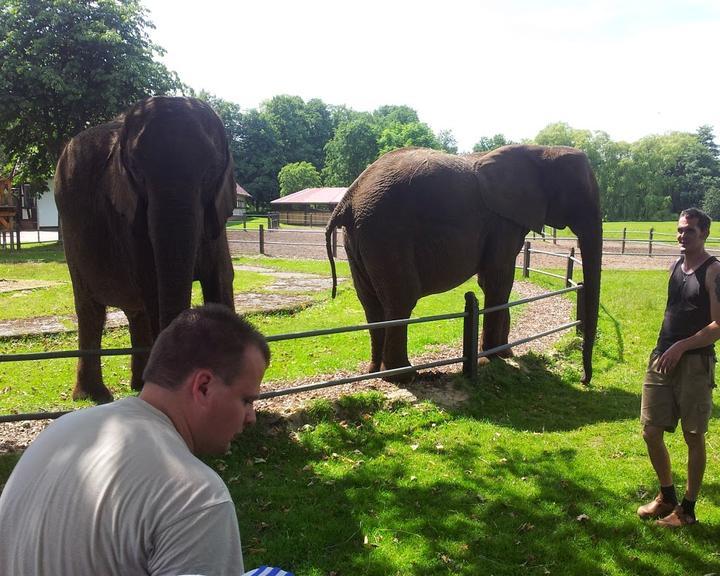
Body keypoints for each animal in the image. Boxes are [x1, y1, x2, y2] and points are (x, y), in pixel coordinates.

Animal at [57, 97, 236, 402]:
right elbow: (153, 286)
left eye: (211, 172)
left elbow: (221, 279)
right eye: (137, 173)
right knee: (90, 310)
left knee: (135, 310)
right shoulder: (127, 215)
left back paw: (138, 384)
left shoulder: (217, 215)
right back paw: (93, 396)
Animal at [326, 145, 600, 382]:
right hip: (386, 233)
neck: (540, 150)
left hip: (359, 238)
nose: (584, 379)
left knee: (371, 302)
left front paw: (505, 354)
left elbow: (494, 281)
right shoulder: (502, 222)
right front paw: (492, 359)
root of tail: (347, 199)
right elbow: (499, 279)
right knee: (401, 300)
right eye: (580, 192)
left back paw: (376, 373)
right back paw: (404, 376)